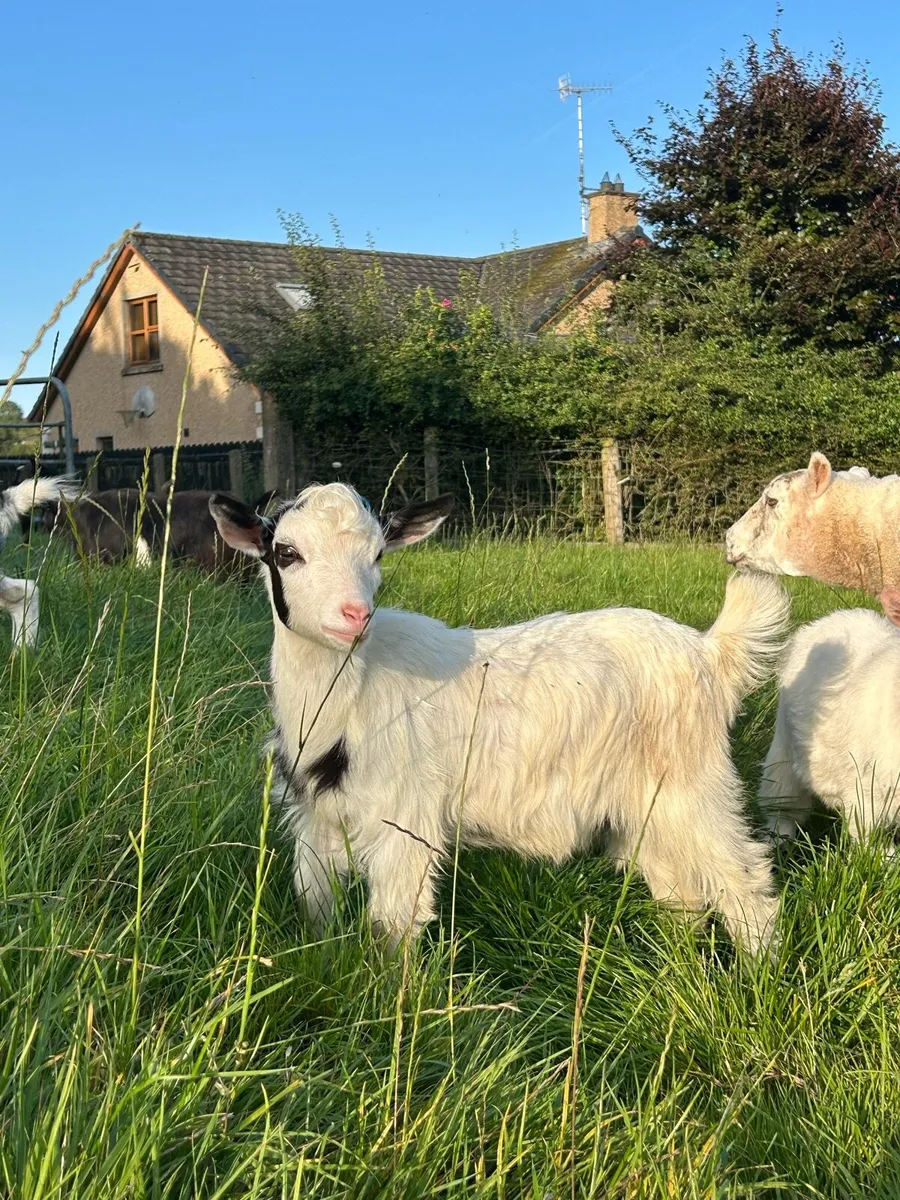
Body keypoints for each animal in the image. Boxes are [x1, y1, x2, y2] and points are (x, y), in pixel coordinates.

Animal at [210, 482, 789, 956]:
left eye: (377, 554)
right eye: (286, 553)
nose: (355, 615)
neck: (348, 703)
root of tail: (709, 651)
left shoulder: (404, 820)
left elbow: (391, 926)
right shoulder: (316, 819)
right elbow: (315, 907)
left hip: (695, 787)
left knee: (742, 878)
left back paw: (758, 972)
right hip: (643, 806)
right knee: (681, 893)